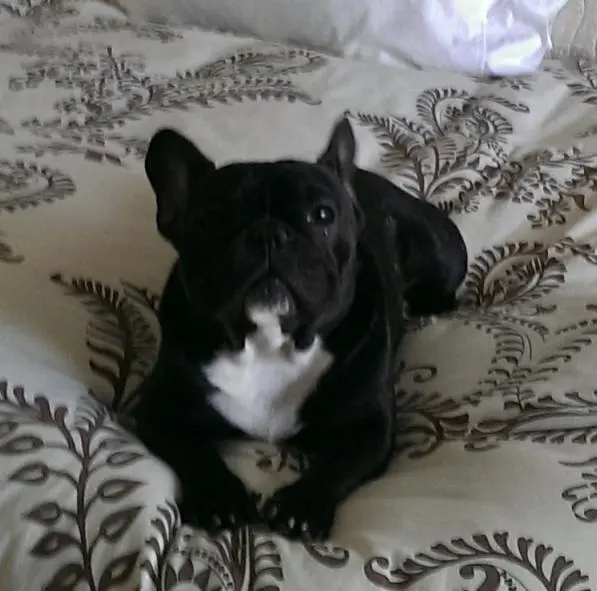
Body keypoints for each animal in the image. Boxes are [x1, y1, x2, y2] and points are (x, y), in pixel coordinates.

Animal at [131, 117, 467, 540]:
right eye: (214, 219)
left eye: (322, 215)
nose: (268, 233)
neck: (268, 344)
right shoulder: (159, 411)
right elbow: (195, 455)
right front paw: (219, 500)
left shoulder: (368, 429)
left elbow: (338, 467)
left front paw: (301, 507)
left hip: (440, 255)